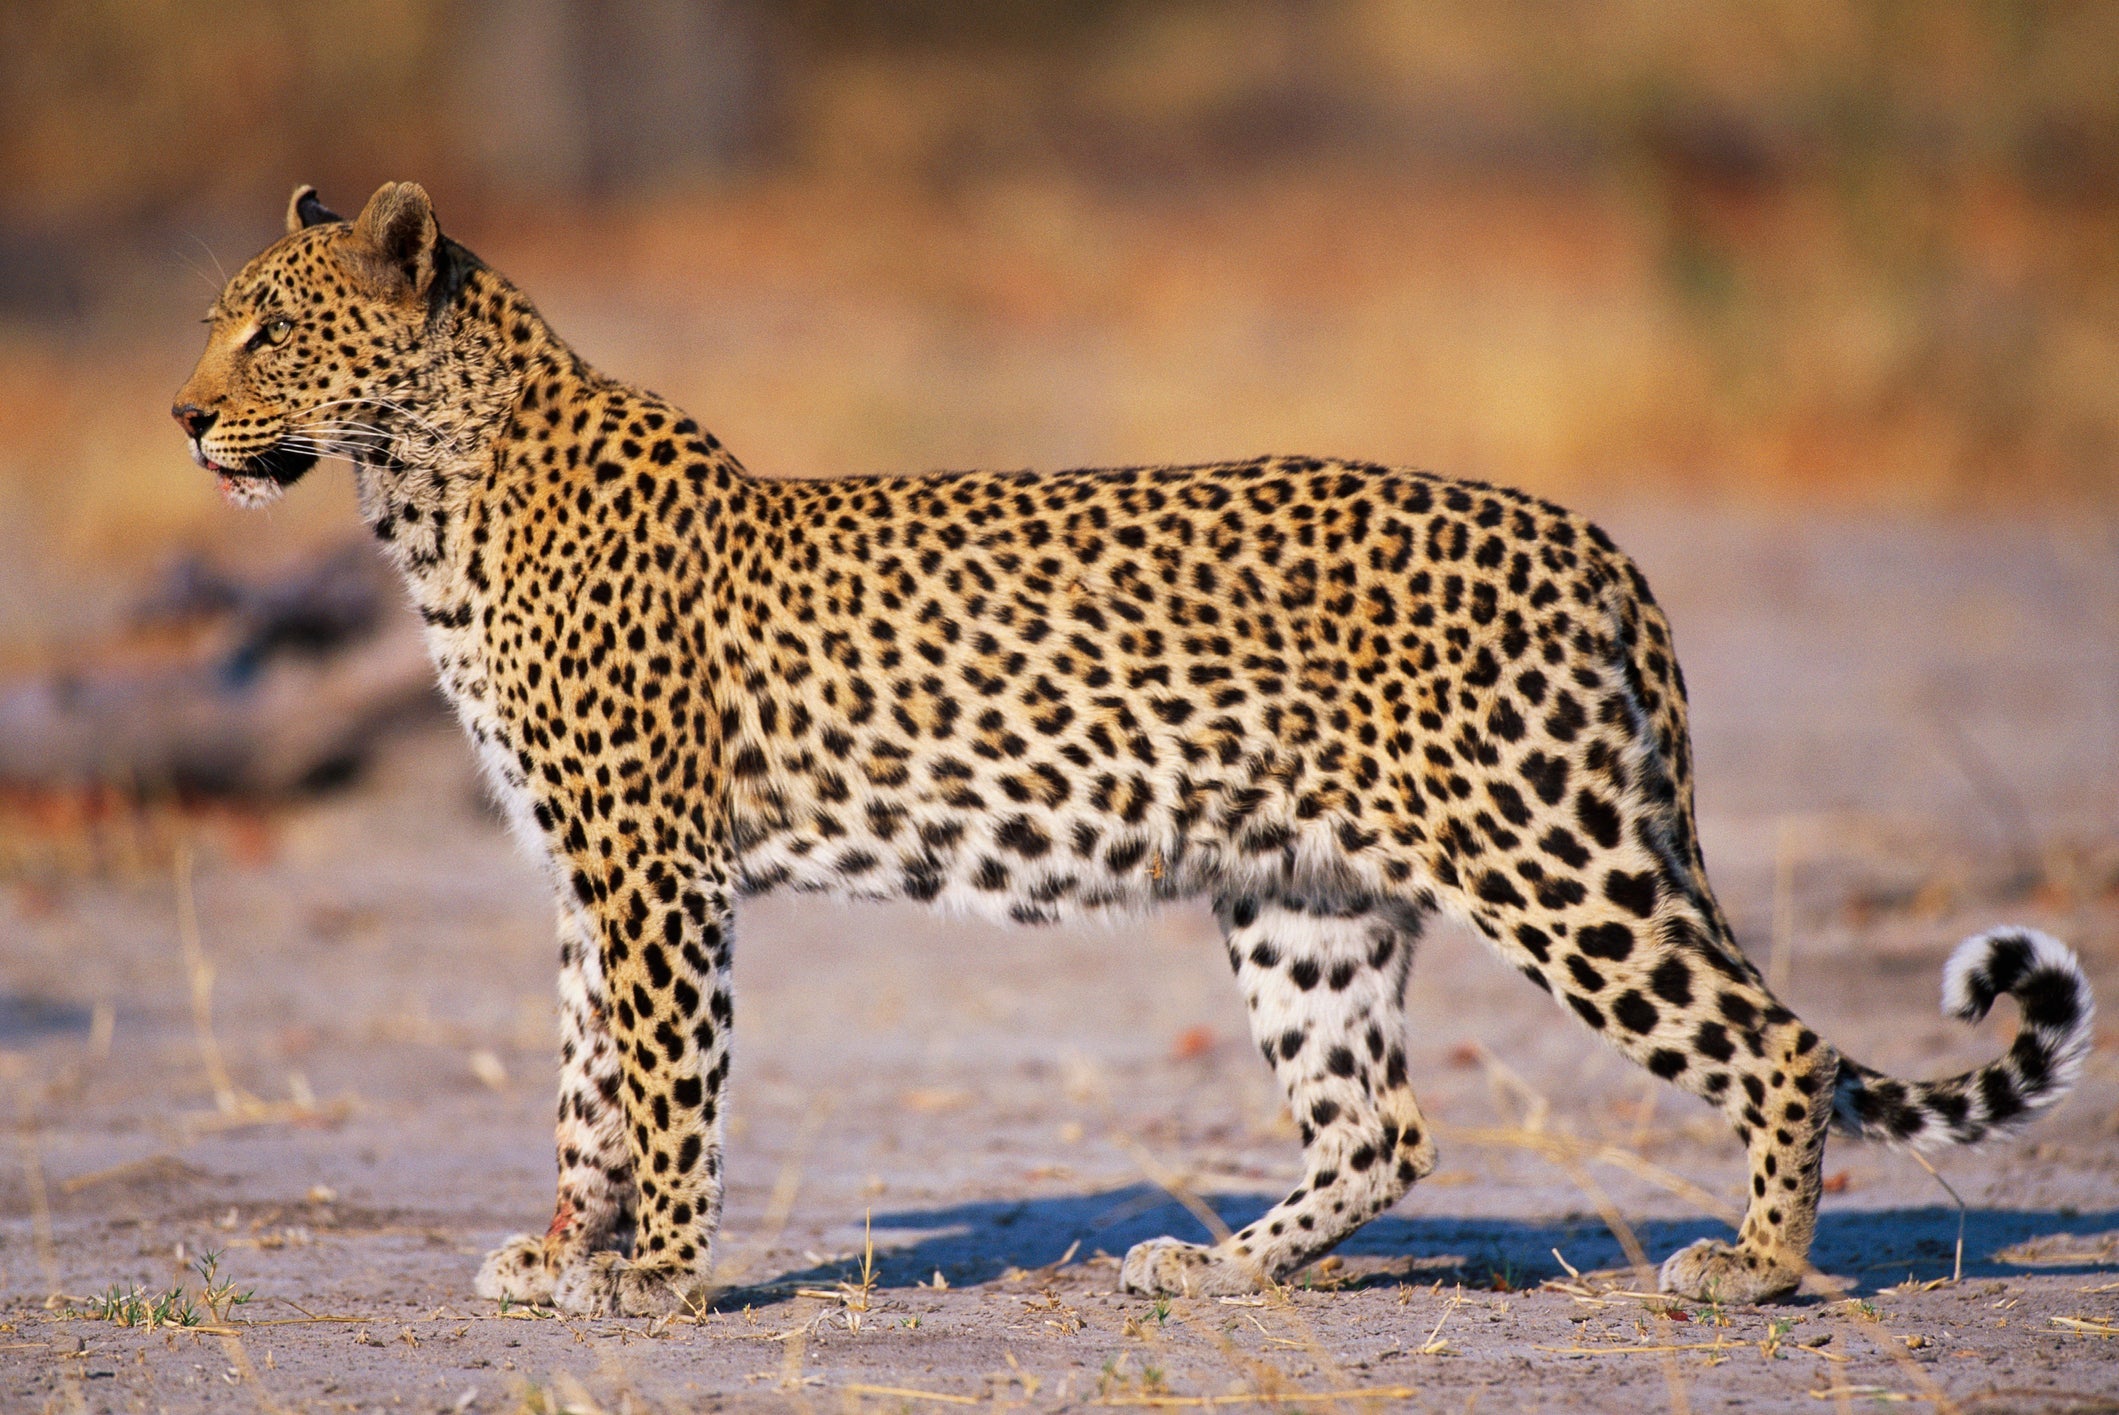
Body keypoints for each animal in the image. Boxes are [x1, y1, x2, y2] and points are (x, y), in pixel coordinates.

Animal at [172, 181, 2094, 1316]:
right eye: (217, 316)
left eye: (267, 323)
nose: (182, 415)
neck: (424, 496)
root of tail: (1588, 535)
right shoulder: (587, 869)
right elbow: (582, 1079)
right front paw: (563, 1257)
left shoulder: (654, 862)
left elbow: (659, 1078)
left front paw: (655, 1285)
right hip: (1306, 899)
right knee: (1379, 1121)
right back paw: (1218, 1270)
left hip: (1546, 852)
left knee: (1772, 1044)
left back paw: (1749, 1271)